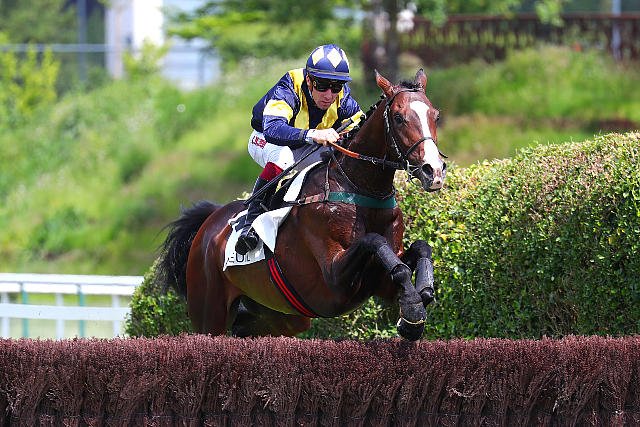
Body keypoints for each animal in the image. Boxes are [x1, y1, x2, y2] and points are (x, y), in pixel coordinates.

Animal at [157, 69, 446, 341]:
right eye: (398, 118)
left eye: (435, 115)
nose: (433, 171)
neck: (359, 188)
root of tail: (209, 223)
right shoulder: (334, 280)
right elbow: (374, 241)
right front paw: (413, 310)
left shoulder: (377, 280)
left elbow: (418, 250)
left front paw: (421, 298)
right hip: (209, 312)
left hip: (279, 315)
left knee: (247, 326)